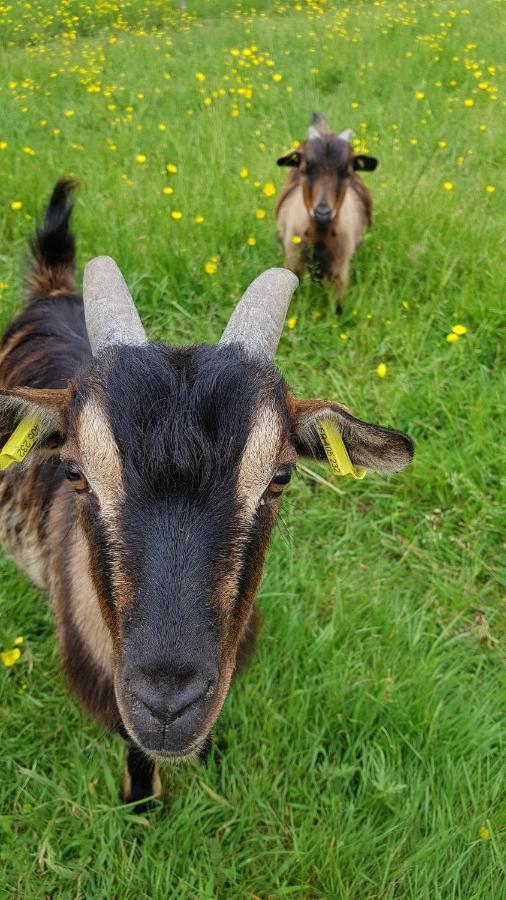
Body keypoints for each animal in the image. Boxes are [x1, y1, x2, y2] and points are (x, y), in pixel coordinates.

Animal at [274, 114, 378, 312]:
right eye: (304, 169)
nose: (322, 212)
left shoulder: (340, 273)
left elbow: (337, 309)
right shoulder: (293, 264)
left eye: (347, 172)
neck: (320, 237)